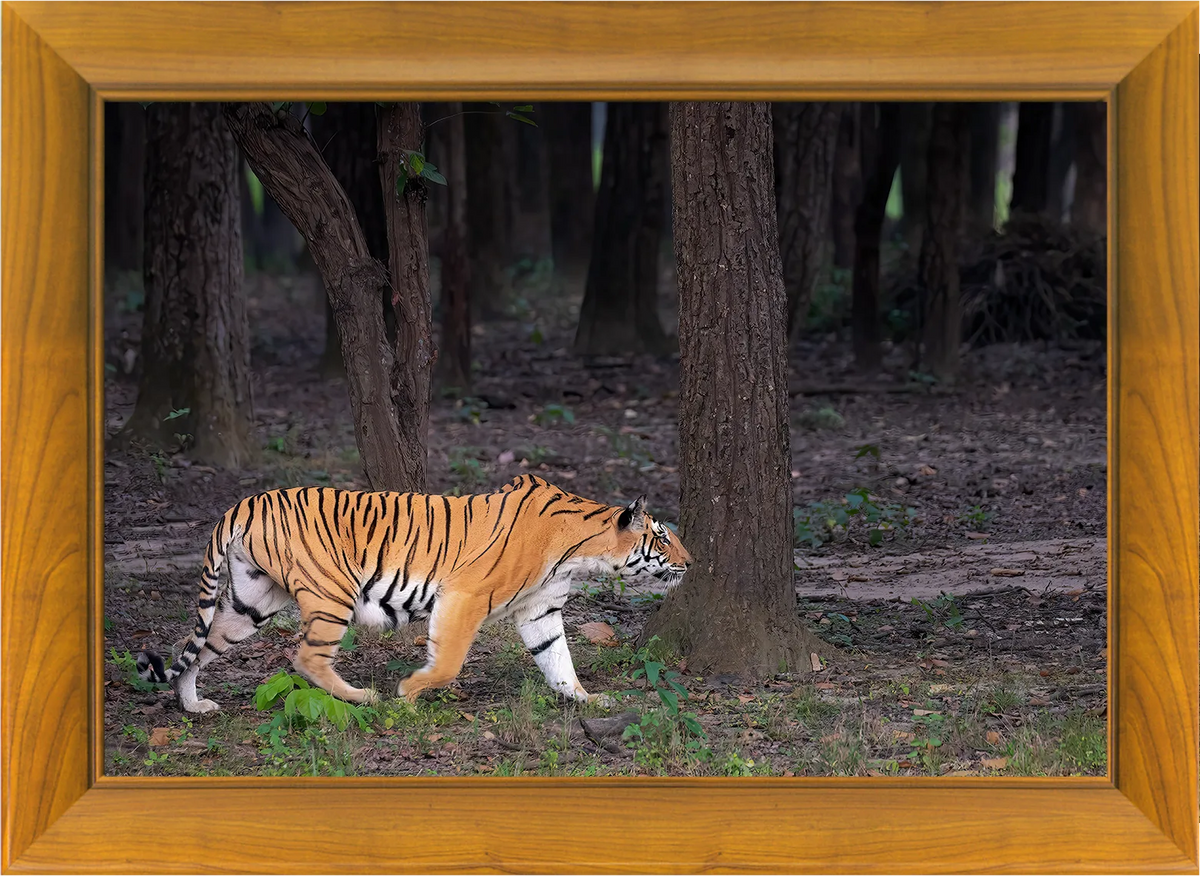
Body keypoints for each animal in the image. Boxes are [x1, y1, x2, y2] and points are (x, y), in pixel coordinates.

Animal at [137, 474, 692, 714]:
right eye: (662, 537)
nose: (691, 563)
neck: (580, 549)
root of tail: (244, 502)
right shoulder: (466, 595)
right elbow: (448, 660)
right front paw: (410, 691)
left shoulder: (542, 611)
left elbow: (558, 659)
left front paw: (586, 699)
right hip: (331, 593)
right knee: (306, 658)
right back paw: (363, 697)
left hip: (252, 601)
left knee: (194, 647)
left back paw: (193, 705)